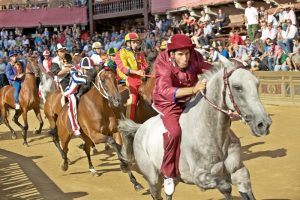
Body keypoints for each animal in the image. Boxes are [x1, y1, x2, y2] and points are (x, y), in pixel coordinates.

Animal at [119, 57, 272, 200]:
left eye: (257, 84)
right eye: (237, 86)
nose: (263, 124)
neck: (213, 135)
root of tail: (140, 128)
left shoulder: (238, 171)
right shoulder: (200, 177)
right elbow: (225, 186)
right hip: (153, 178)